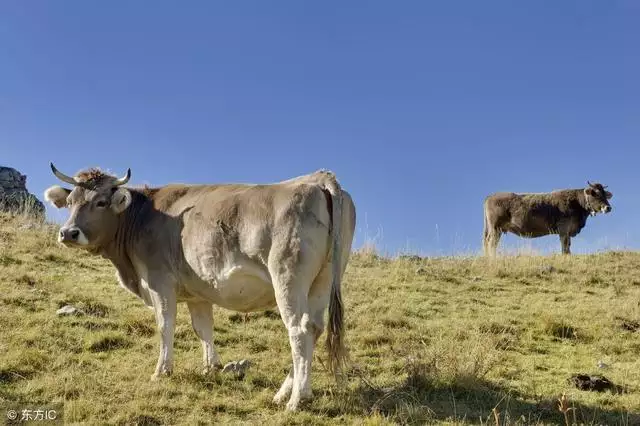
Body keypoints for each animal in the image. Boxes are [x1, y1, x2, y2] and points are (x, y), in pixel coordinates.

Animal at [43, 162, 358, 410]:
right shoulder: (197, 292)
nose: (68, 233)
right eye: (70, 202)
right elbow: (203, 328)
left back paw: (297, 399)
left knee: (299, 329)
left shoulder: (159, 282)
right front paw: (211, 368)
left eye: (100, 202)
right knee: (314, 327)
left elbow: (165, 325)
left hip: (288, 277)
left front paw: (162, 371)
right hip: (324, 279)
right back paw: (284, 393)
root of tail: (318, 178)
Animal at [482, 181, 612, 256]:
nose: (608, 207)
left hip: (496, 229)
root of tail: (491, 196)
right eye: (595, 194)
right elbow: (565, 244)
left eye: (605, 194)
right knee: (491, 242)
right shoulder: (564, 228)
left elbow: (568, 244)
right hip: (495, 228)